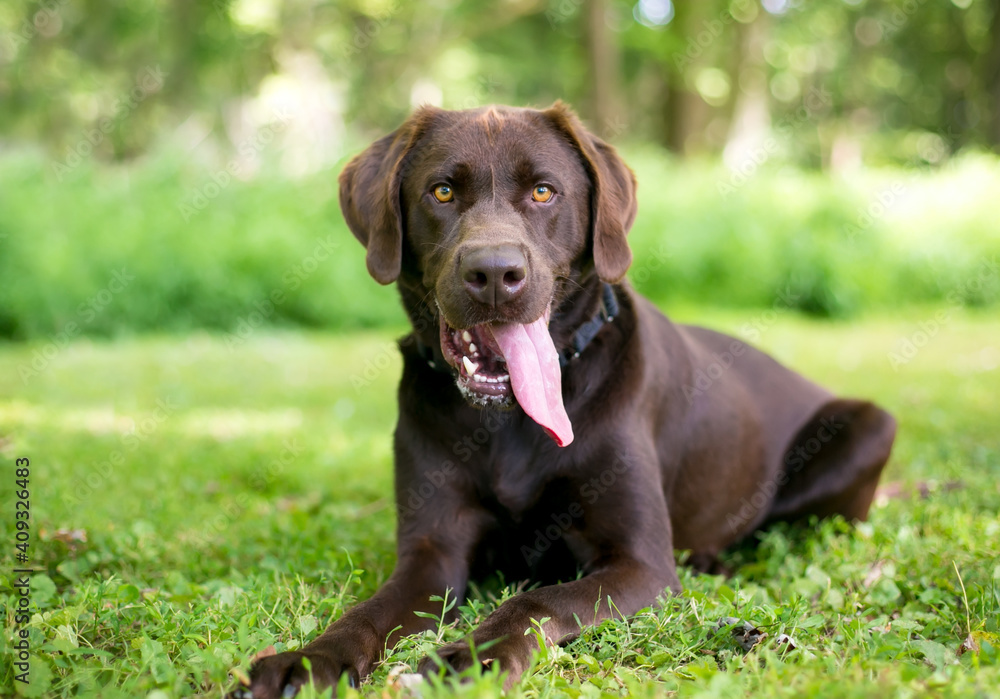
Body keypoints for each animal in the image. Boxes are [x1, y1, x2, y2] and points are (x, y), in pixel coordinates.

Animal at [240, 104, 900, 699]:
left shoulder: (639, 564)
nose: (494, 273)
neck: (508, 423)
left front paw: (474, 656)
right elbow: (367, 613)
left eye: (542, 192)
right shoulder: (431, 553)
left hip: (872, 425)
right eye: (442, 191)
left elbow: (538, 598)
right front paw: (307, 660)